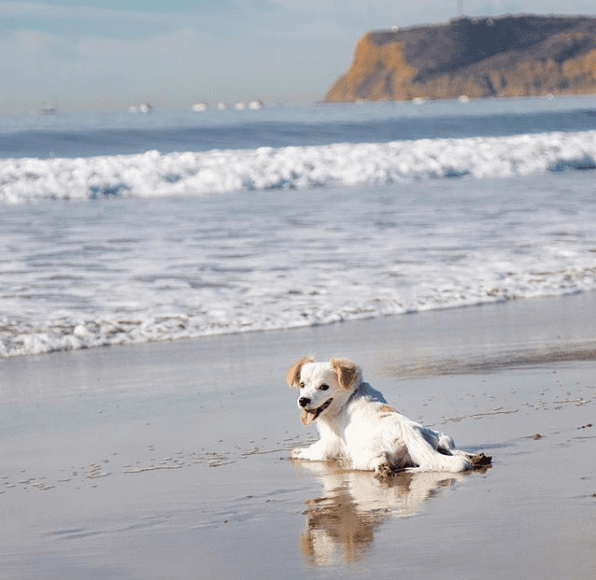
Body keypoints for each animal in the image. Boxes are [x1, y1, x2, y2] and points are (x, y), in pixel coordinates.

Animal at [286, 358, 492, 476]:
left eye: (324, 387)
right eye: (302, 384)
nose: (303, 400)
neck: (347, 398)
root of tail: (406, 430)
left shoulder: (328, 444)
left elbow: (312, 451)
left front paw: (297, 451)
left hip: (362, 458)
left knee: (379, 462)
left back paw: (383, 471)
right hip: (440, 436)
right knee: (451, 450)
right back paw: (477, 458)